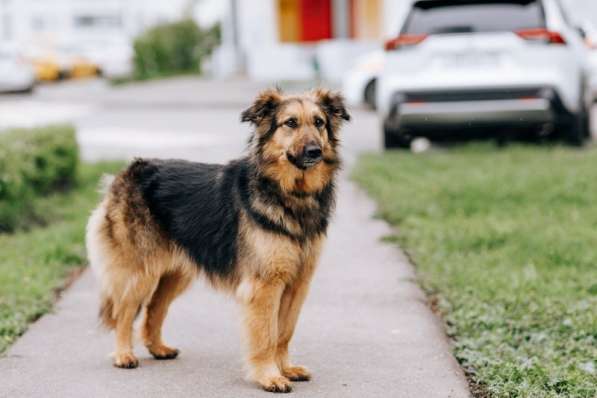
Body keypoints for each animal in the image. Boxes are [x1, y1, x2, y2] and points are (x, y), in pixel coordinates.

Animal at [86, 89, 352, 392]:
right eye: (291, 123)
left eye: (319, 122)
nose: (314, 151)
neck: (290, 194)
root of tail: (128, 171)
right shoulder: (264, 285)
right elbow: (266, 336)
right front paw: (269, 376)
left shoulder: (298, 283)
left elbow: (284, 332)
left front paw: (286, 368)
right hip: (141, 272)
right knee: (124, 312)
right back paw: (123, 354)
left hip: (175, 275)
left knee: (154, 309)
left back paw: (158, 348)